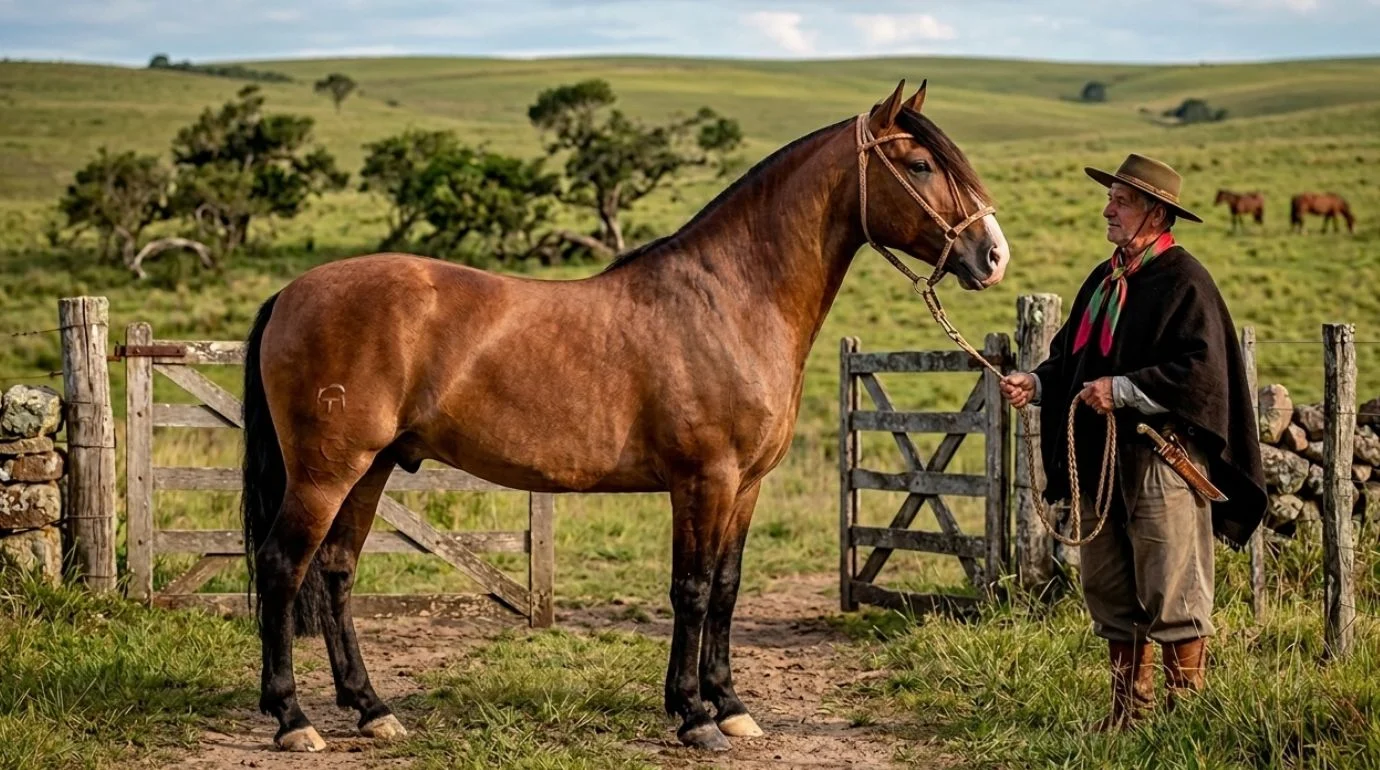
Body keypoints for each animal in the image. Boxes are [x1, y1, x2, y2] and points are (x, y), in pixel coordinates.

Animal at [239, 79, 1009, 753]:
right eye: (919, 164)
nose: (993, 256)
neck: (731, 298)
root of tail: (290, 292)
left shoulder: (746, 486)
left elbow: (726, 589)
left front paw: (731, 707)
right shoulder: (704, 480)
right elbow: (691, 590)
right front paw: (694, 716)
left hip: (371, 469)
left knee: (336, 571)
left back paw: (372, 710)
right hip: (327, 472)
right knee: (282, 566)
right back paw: (292, 720)